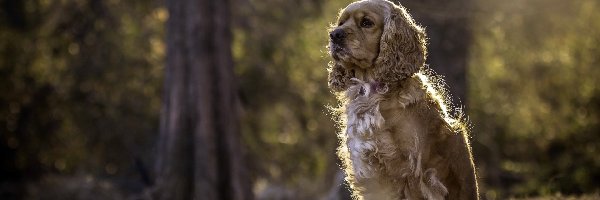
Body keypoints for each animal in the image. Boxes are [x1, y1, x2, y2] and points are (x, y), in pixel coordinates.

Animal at [326, 0, 480, 199]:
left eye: (367, 22)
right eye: (341, 23)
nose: (334, 34)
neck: (373, 89)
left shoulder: (413, 170)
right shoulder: (370, 170)